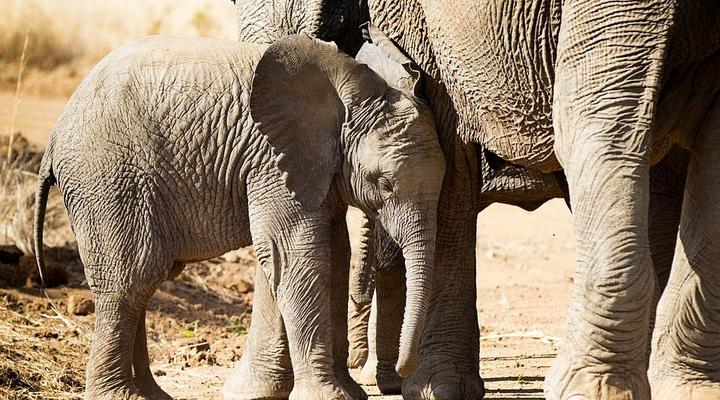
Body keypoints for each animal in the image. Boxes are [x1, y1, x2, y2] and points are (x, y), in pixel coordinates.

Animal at [33, 34, 447, 400]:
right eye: (385, 184)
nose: (401, 374)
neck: (350, 96)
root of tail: (53, 139)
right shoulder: (271, 160)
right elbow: (297, 254)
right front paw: (331, 397)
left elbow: (332, 254)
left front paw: (348, 392)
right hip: (107, 179)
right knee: (129, 278)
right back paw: (121, 396)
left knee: (141, 284)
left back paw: (151, 396)